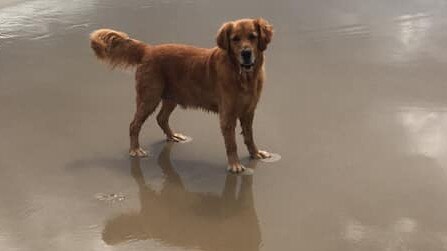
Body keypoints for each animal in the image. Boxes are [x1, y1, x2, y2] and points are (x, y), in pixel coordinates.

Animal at [89, 18, 272, 173]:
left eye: (253, 37)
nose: (246, 53)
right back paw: (135, 149)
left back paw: (173, 136)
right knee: (134, 124)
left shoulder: (249, 111)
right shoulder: (227, 115)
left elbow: (249, 136)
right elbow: (232, 144)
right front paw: (234, 164)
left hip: (171, 97)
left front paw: (255, 153)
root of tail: (148, 49)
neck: (242, 75)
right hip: (149, 97)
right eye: (235, 39)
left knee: (161, 118)